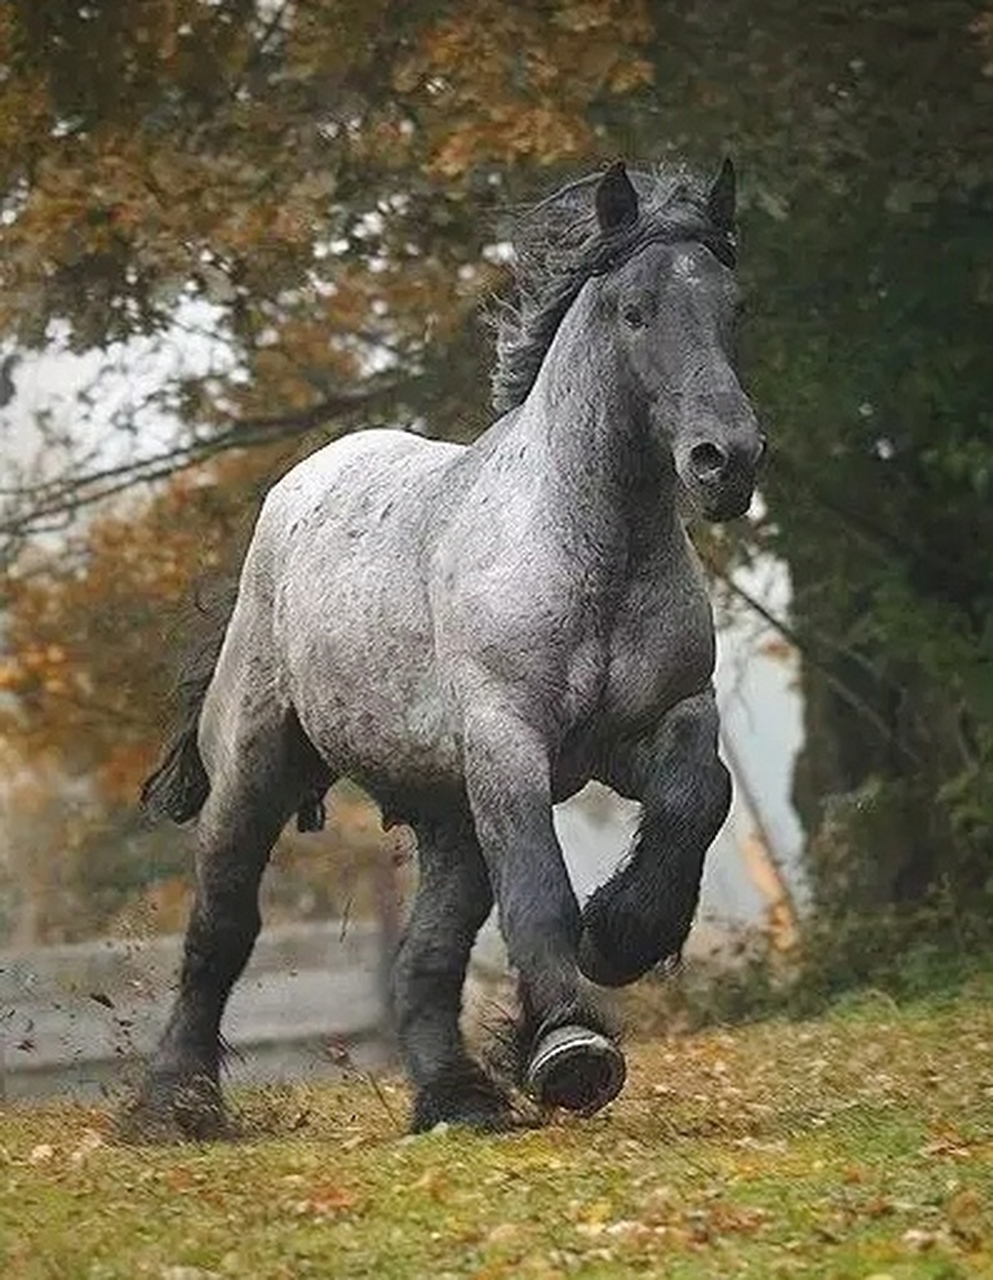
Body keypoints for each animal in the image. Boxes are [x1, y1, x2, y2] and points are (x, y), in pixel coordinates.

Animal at [132, 159, 764, 1138]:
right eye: (634, 310)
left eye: (732, 305)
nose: (725, 461)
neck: (590, 547)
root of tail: (295, 492)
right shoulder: (509, 740)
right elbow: (537, 885)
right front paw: (570, 1046)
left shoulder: (657, 723)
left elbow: (699, 798)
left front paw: (621, 935)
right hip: (256, 774)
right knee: (221, 926)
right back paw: (177, 1103)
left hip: (446, 813)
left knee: (423, 955)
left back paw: (456, 1099)